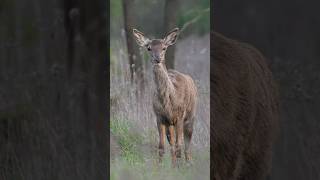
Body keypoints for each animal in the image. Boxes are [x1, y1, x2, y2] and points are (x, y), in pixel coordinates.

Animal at [132, 27, 198, 167]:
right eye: (149, 48)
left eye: (164, 48)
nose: (158, 58)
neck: (168, 102)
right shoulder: (159, 117)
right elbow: (162, 146)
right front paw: (160, 167)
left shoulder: (180, 115)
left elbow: (179, 144)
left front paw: (180, 168)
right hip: (170, 124)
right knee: (172, 143)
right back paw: (174, 164)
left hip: (190, 115)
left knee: (187, 143)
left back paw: (188, 163)